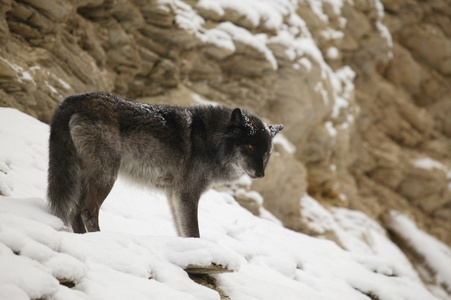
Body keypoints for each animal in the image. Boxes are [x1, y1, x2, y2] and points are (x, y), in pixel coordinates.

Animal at [47, 92, 284, 238]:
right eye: (250, 147)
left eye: (265, 152)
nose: (260, 174)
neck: (212, 141)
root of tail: (74, 99)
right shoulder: (187, 194)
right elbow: (194, 232)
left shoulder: (174, 196)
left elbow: (183, 231)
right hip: (106, 175)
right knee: (87, 210)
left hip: (83, 175)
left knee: (74, 211)